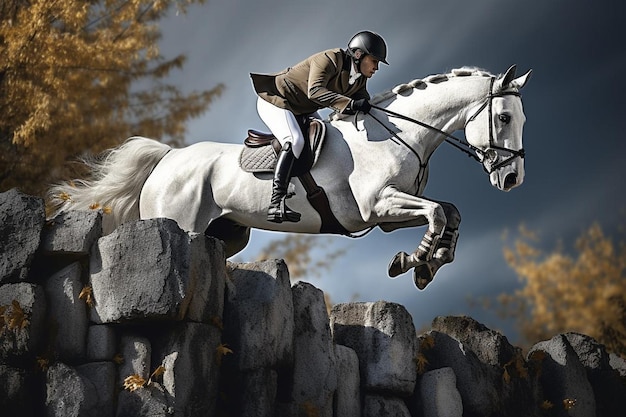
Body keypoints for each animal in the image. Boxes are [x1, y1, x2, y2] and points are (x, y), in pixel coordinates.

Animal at [46, 64, 528, 290]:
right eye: (504, 117)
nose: (512, 180)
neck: (397, 133)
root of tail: (168, 157)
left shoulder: (388, 215)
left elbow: (449, 212)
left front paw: (430, 262)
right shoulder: (378, 205)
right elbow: (438, 214)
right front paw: (414, 261)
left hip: (226, 233)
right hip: (175, 222)